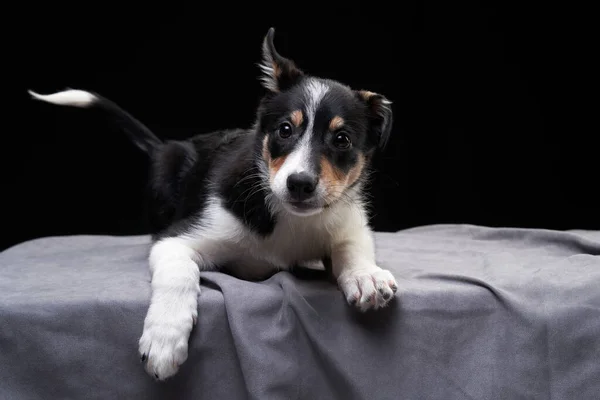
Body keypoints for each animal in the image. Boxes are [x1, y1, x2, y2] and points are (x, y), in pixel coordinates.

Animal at [28, 28, 396, 382]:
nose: (300, 184)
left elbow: (351, 245)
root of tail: (165, 146)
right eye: (285, 130)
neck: (287, 219)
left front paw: (366, 275)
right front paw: (164, 340)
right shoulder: (176, 239)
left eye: (342, 139)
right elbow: (180, 274)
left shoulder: (348, 219)